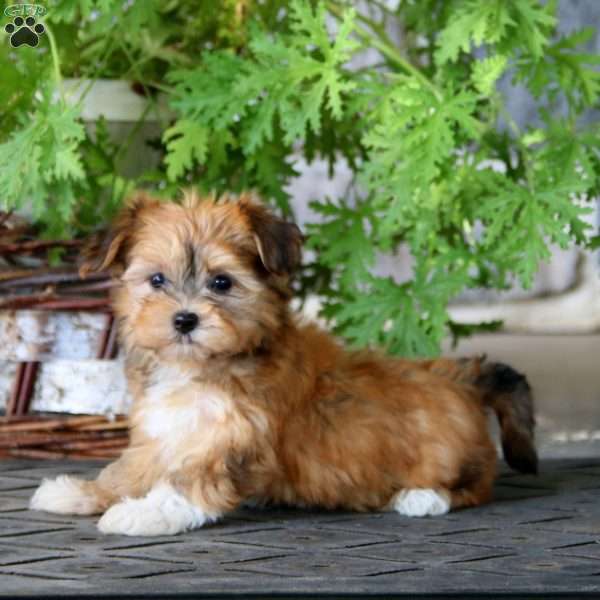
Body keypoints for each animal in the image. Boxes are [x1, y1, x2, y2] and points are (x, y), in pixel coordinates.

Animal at [29, 191, 540, 536]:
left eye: (221, 283)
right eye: (156, 280)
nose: (185, 319)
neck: (203, 367)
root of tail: (460, 377)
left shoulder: (237, 437)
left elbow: (190, 481)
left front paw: (145, 511)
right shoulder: (166, 432)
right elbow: (129, 468)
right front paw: (83, 491)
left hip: (452, 456)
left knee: (476, 485)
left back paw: (421, 497)